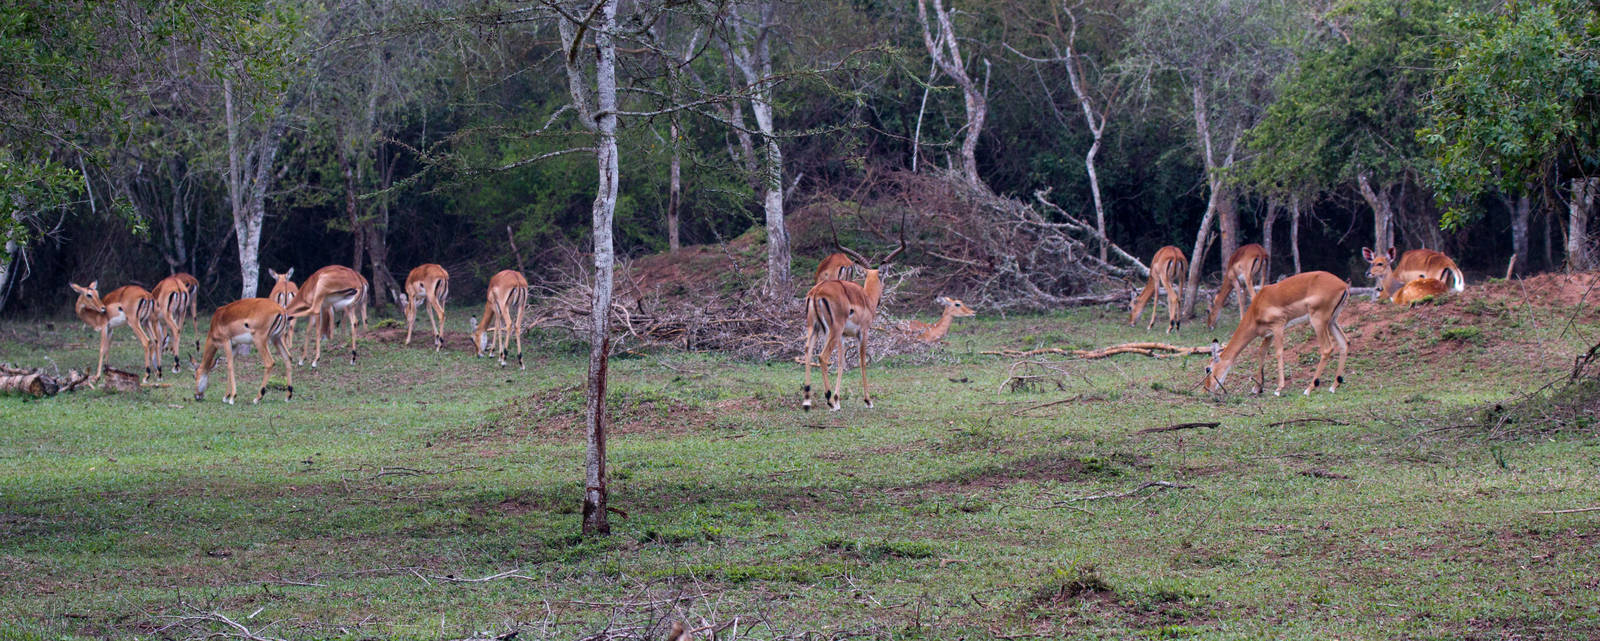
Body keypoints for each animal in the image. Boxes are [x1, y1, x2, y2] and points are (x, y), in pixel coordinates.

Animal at [801, 223, 905, 411]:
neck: (866, 298)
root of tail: (816, 292)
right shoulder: (863, 332)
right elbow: (862, 361)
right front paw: (868, 400)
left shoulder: (843, 336)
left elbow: (841, 362)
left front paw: (838, 400)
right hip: (833, 330)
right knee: (822, 357)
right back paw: (828, 400)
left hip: (815, 328)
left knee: (808, 352)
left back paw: (808, 400)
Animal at [1204, 271, 1350, 397]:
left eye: (1208, 369)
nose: (1206, 389)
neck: (1256, 308)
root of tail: (1343, 285)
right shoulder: (1269, 334)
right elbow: (1262, 352)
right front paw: (1257, 388)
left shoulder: (1278, 326)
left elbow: (1278, 353)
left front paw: (1279, 389)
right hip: (1332, 322)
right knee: (1344, 343)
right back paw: (1333, 386)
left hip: (1318, 322)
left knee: (1327, 348)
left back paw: (1309, 389)